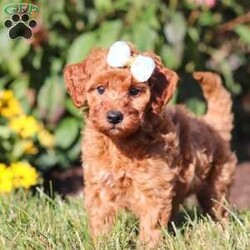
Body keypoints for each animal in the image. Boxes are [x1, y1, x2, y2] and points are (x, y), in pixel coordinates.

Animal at [63, 40, 235, 246]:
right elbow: (101, 222)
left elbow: (151, 228)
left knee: (219, 210)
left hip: (216, 184)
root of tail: (212, 124)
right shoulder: (100, 186)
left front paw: (147, 245)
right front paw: (102, 243)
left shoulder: (154, 190)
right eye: (100, 89)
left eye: (134, 91)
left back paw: (223, 233)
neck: (120, 145)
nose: (114, 117)